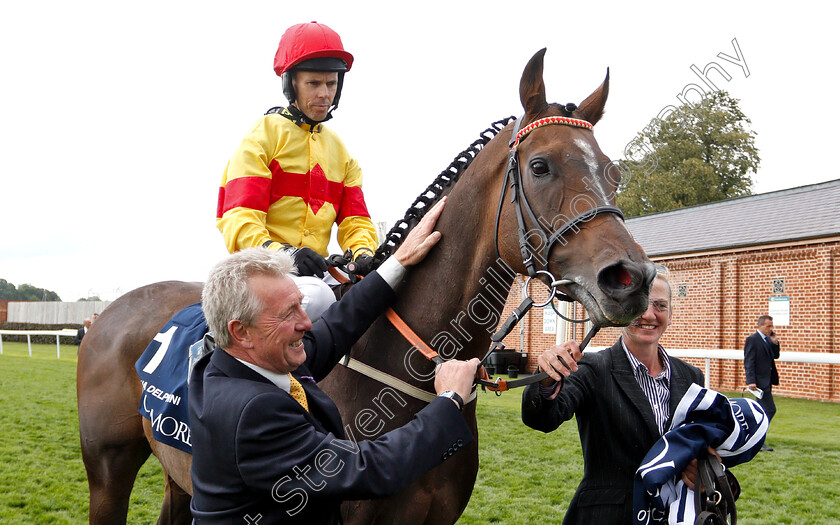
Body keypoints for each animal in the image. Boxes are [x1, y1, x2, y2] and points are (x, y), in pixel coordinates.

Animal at [77, 47, 656, 520]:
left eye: (613, 172)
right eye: (540, 166)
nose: (632, 278)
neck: (410, 372)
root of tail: (107, 314)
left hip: (181, 479)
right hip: (107, 472)